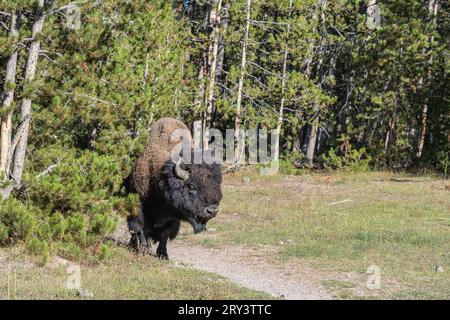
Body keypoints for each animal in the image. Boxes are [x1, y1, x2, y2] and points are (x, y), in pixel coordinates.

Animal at [126, 119, 221, 258]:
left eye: (215, 185)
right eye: (191, 187)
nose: (212, 211)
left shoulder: (174, 215)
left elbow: (165, 234)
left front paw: (163, 254)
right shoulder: (139, 203)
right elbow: (140, 227)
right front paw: (142, 249)